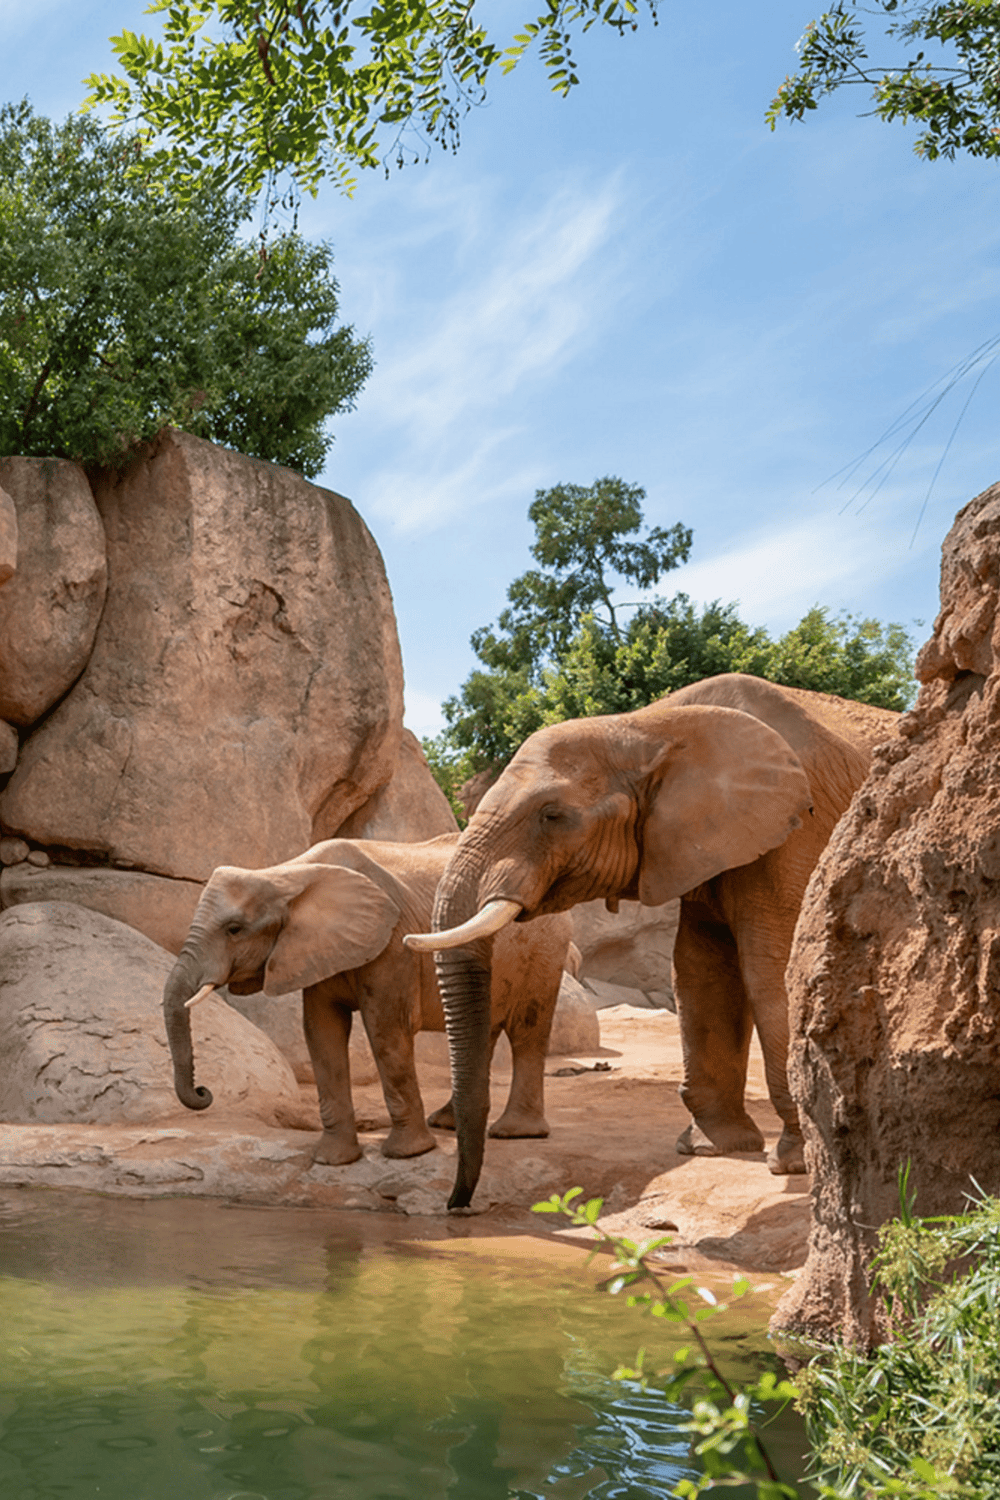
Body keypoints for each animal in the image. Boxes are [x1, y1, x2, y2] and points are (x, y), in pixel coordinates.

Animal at [162, 833, 572, 1166]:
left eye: (234, 930)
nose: (203, 1092)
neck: (288, 874)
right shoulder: (318, 948)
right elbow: (322, 1032)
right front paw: (332, 1161)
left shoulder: (393, 944)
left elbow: (385, 1030)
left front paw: (407, 1154)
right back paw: (448, 1123)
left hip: (544, 948)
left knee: (527, 1032)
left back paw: (515, 1132)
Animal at [405, 673, 897, 1209]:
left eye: (552, 815)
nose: (457, 1204)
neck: (647, 727)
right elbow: (701, 969)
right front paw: (710, 1147)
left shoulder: (797, 830)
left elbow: (775, 966)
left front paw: (793, 1164)